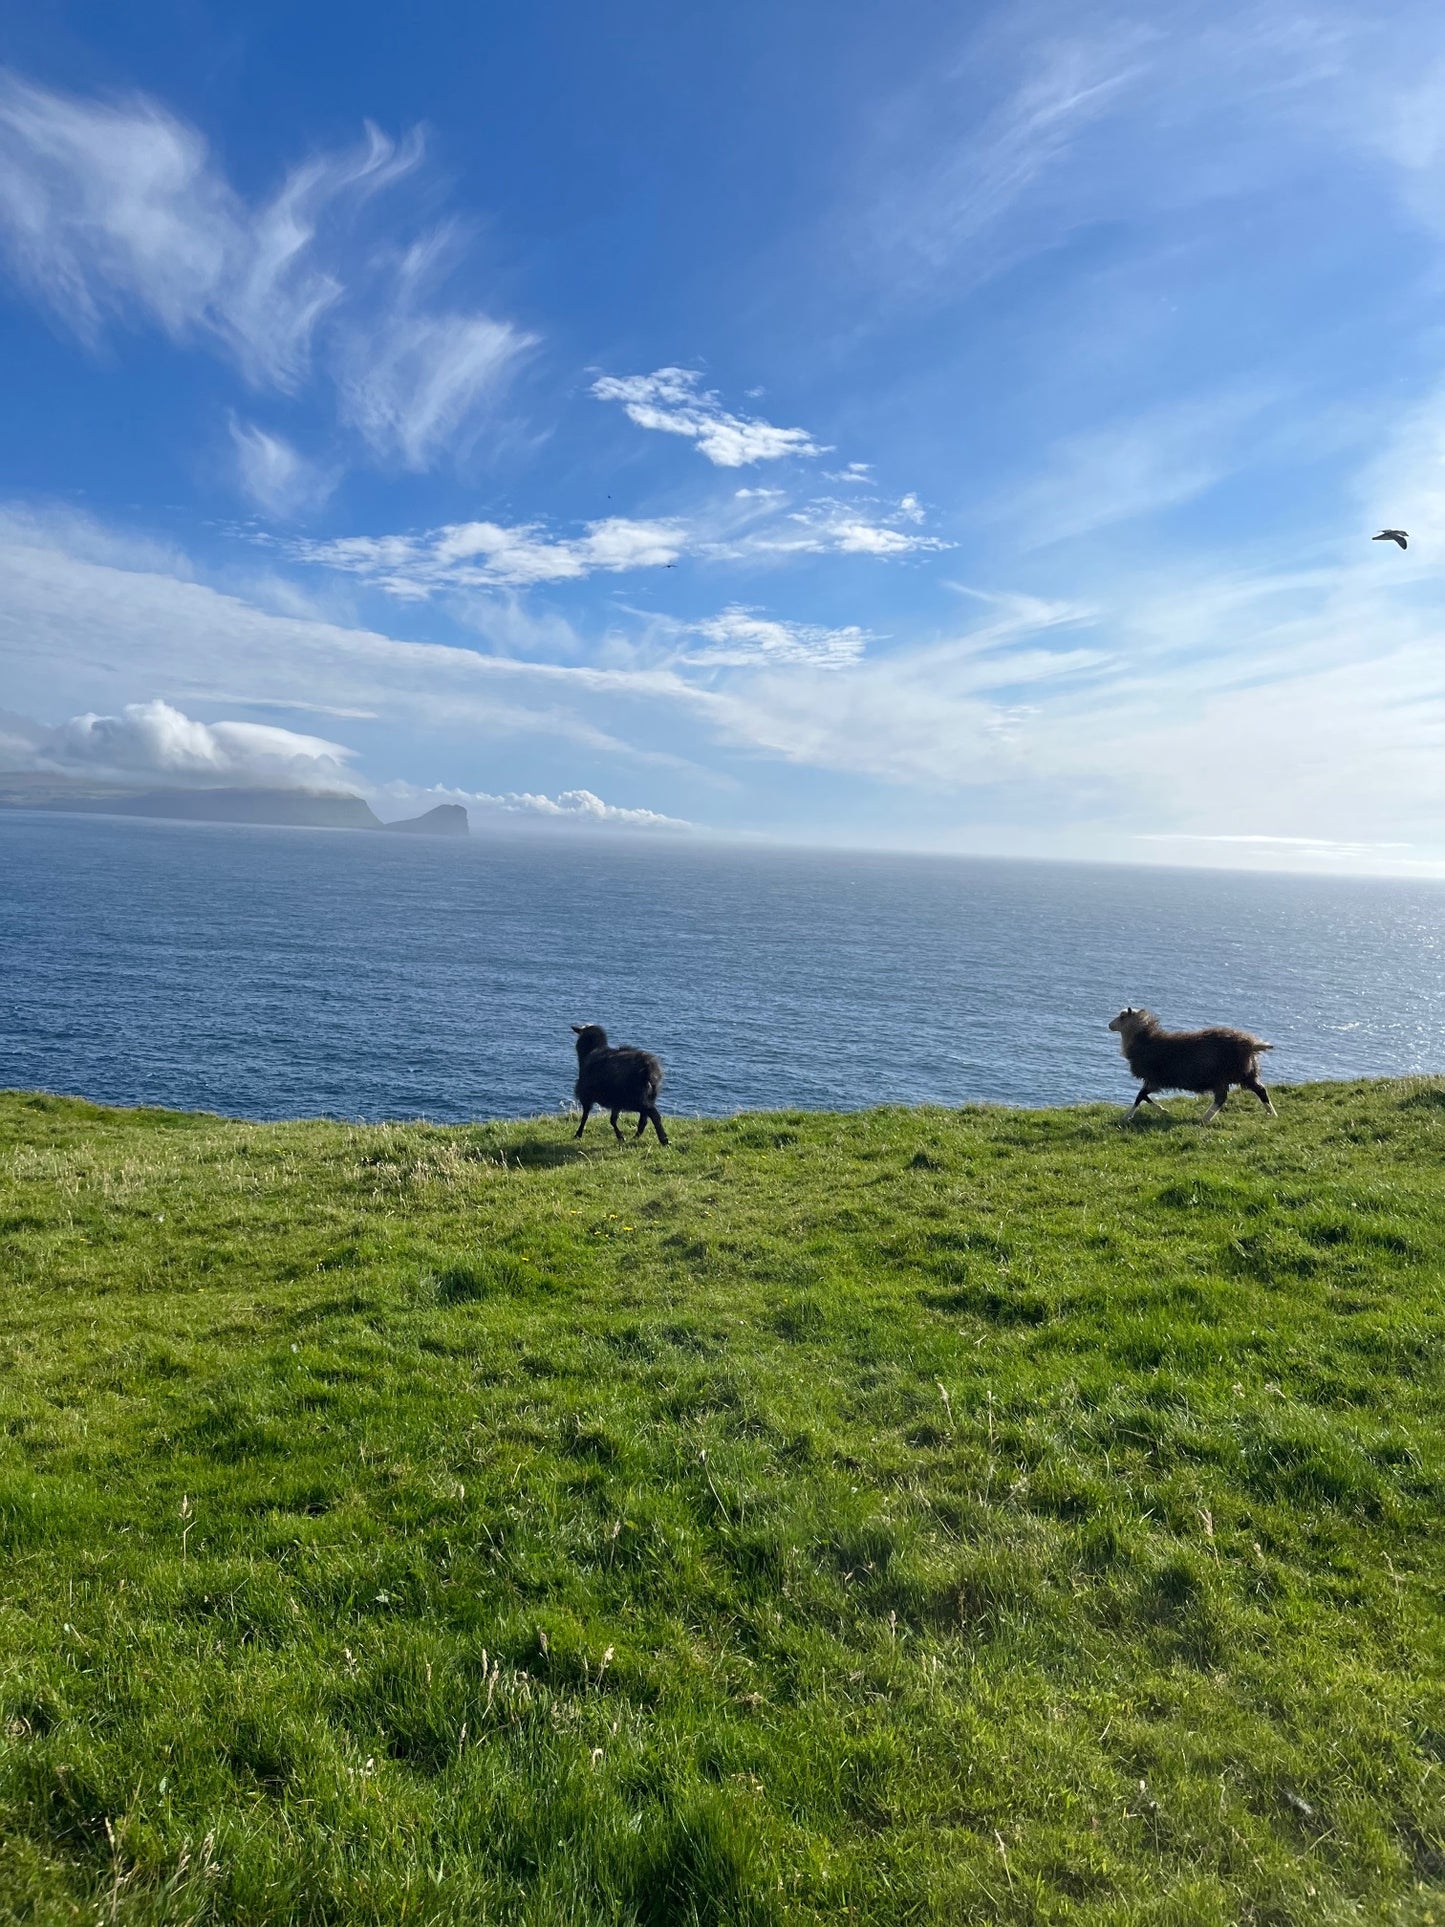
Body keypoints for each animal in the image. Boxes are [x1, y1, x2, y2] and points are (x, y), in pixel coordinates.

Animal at [1109, 1002, 1279, 1125]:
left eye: (1122, 1016)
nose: (1109, 1025)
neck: (1144, 1039)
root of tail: (1251, 1044)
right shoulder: (1154, 1080)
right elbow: (1143, 1096)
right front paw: (1162, 1111)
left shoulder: (1155, 1078)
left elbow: (1140, 1096)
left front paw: (1128, 1116)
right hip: (1246, 1074)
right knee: (1260, 1090)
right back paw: (1272, 1113)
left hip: (1225, 1076)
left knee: (1222, 1098)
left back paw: (1205, 1119)